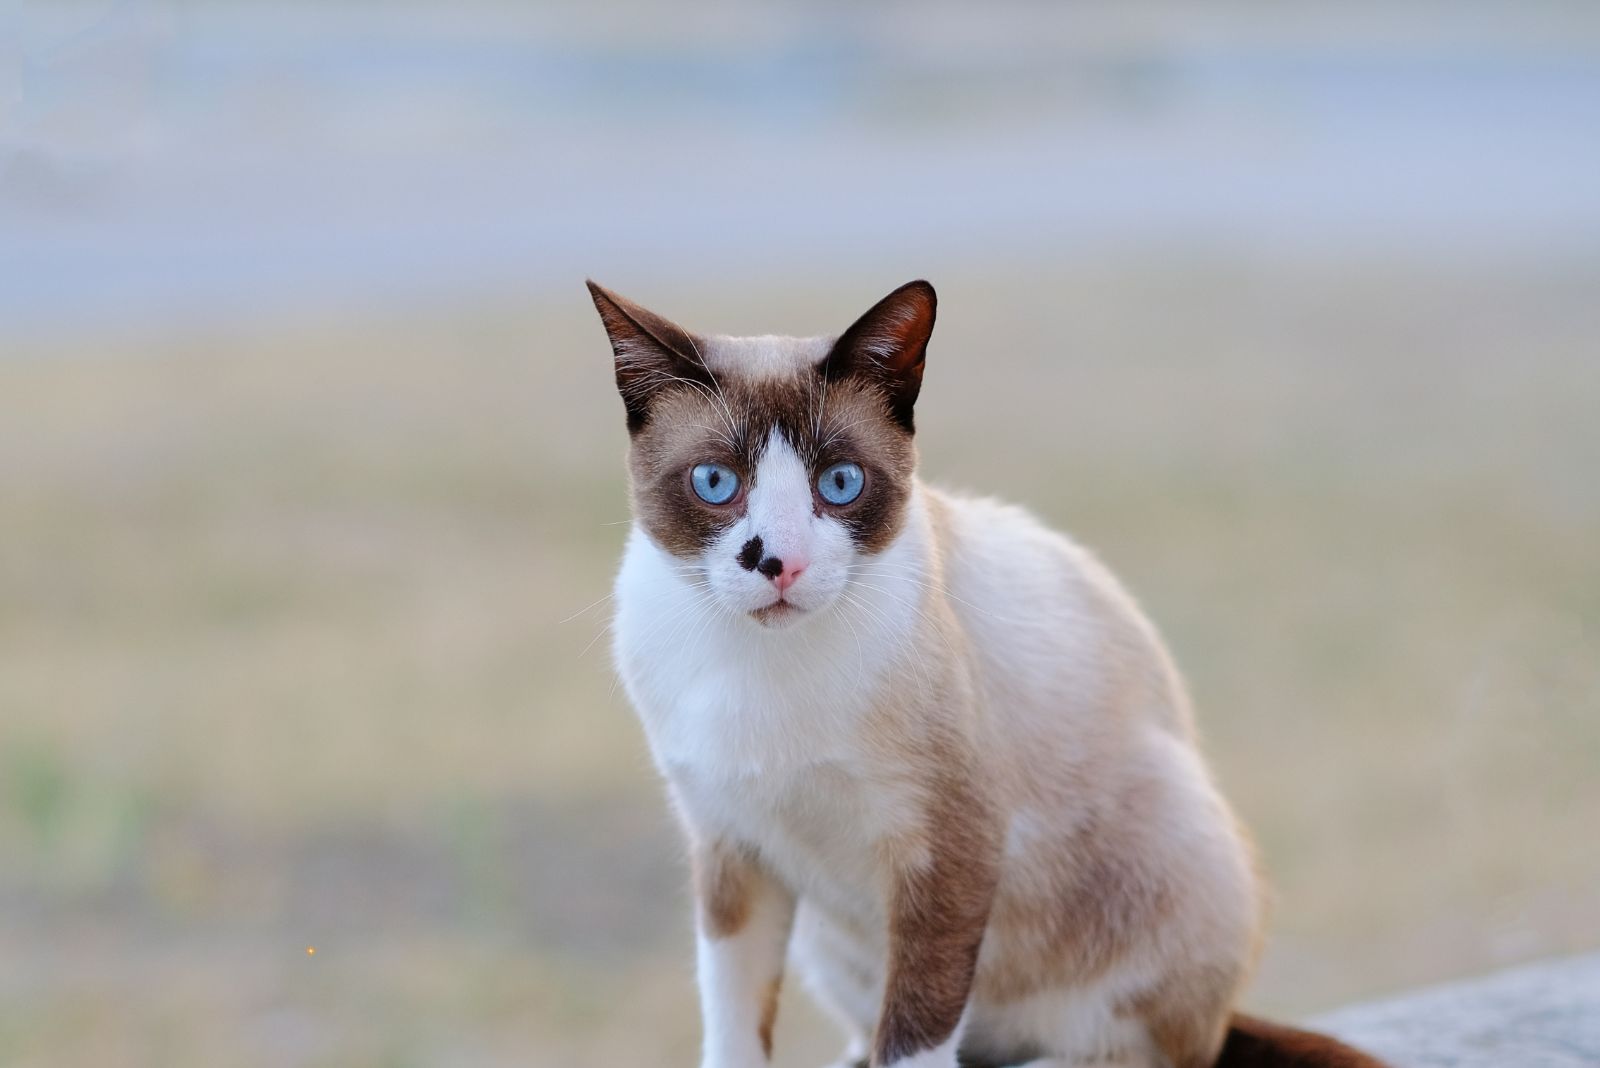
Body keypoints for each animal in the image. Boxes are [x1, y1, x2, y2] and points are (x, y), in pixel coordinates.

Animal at [588, 281, 1388, 1068]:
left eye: (840, 483)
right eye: (715, 482)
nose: (779, 563)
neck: (755, 666)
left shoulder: (949, 850)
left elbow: (914, 1033)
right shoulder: (731, 852)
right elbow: (733, 1025)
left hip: (1176, 847)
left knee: (1144, 1051)